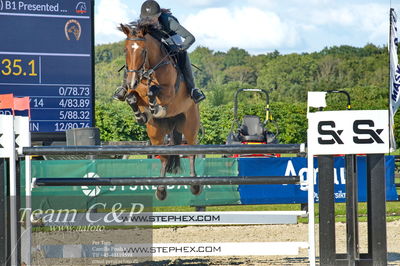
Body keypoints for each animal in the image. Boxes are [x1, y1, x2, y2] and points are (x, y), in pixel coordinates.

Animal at [118, 23, 200, 201]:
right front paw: (141, 115)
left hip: (190, 125)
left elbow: (153, 91)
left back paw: (195, 185)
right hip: (156, 132)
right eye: (125, 50)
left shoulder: (169, 93)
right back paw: (161, 189)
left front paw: (156, 107)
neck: (149, 70)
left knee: (191, 152)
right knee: (163, 156)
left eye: (143, 51)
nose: (132, 81)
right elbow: (131, 97)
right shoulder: (135, 92)